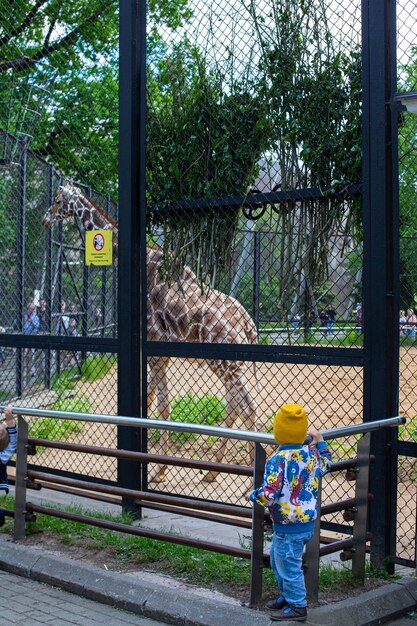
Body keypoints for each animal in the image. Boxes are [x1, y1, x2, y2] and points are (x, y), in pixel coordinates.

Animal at [42, 180, 256, 478]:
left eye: (58, 200)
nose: (44, 219)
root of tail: (249, 324)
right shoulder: (158, 355)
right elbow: (155, 402)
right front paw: (156, 467)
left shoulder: (154, 350)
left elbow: (160, 406)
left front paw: (157, 471)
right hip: (228, 364)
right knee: (237, 406)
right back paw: (215, 473)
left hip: (225, 363)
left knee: (246, 407)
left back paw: (247, 478)